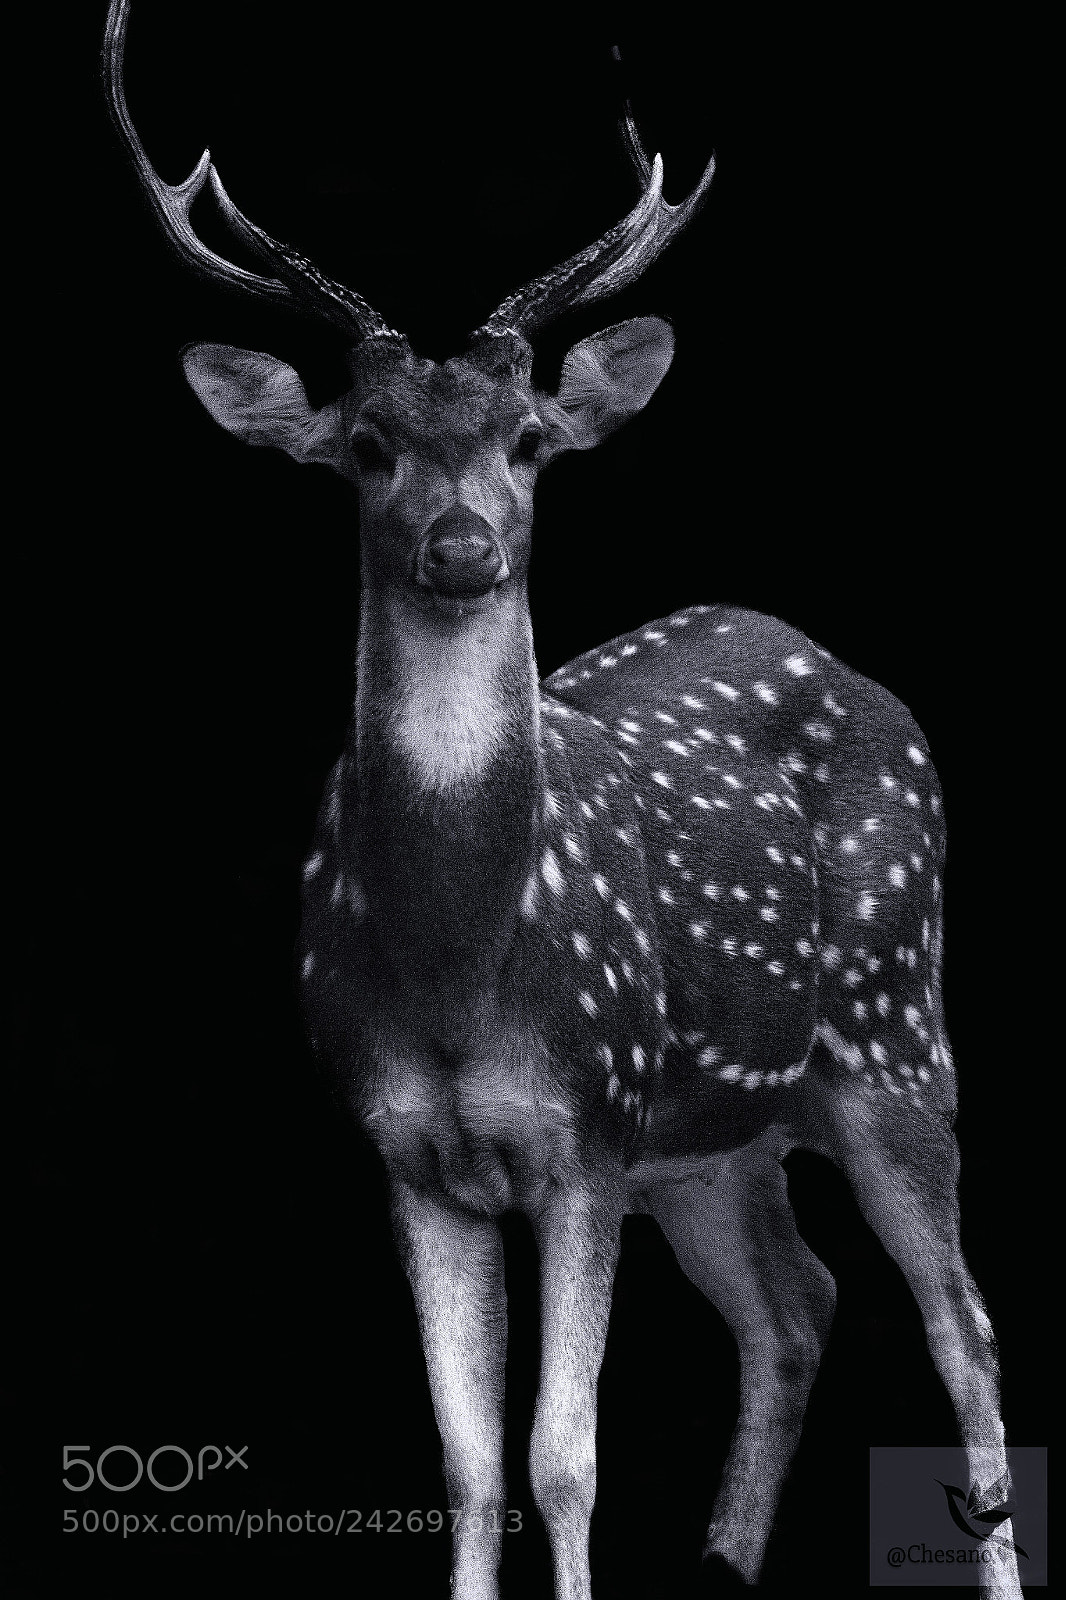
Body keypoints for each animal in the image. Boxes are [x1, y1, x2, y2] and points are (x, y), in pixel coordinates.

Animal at [103, 5, 1021, 1597]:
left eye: (528, 440)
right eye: (365, 446)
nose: (464, 545)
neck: (465, 969)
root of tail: (850, 669)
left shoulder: (589, 1127)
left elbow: (560, 1457)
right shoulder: (405, 1151)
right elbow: (471, 1466)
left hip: (895, 1033)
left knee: (960, 1325)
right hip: (712, 1138)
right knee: (797, 1301)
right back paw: (724, 1561)